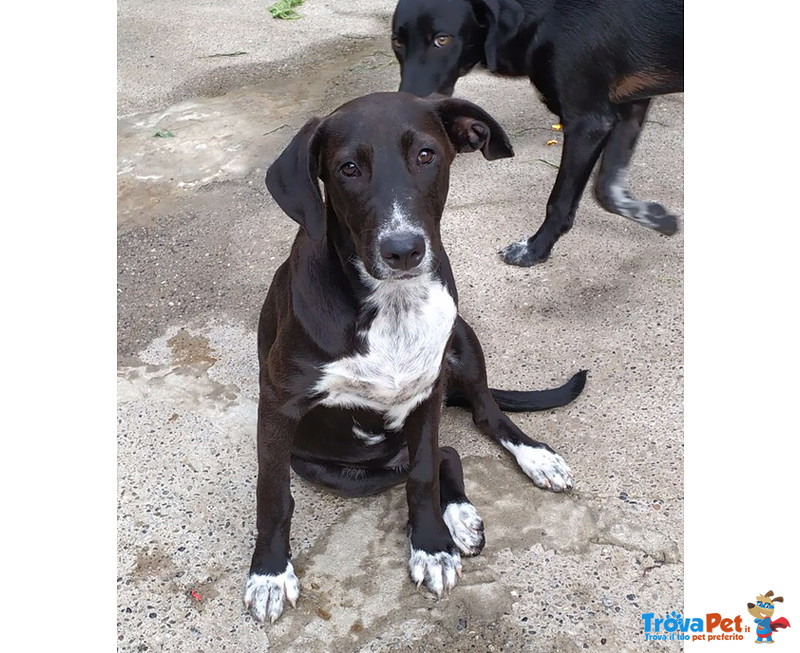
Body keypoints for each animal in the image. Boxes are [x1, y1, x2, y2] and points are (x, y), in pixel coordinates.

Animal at [244, 90, 588, 620]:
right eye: (347, 168)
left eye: (427, 155)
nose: (403, 250)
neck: (392, 304)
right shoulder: (279, 404)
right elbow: (273, 493)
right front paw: (269, 574)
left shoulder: (427, 391)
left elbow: (424, 475)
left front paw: (430, 545)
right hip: (338, 470)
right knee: (438, 452)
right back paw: (460, 515)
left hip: (463, 342)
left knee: (480, 420)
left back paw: (526, 465)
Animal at [390, 0, 684, 264]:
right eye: (397, 42)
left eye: (442, 39)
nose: (406, 110)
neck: (546, 15)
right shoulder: (630, 107)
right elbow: (607, 190)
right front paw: (658, 218)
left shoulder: (588, 123)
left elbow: (560, 201)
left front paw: (535, 249)